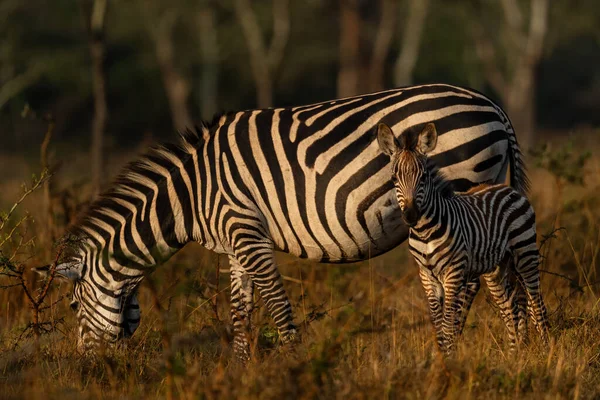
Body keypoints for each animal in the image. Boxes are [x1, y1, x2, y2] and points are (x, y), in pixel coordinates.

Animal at [35, 83, 528, 358]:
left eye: (74, 308)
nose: (86, 372)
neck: (191, 194)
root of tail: (494, 107)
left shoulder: (247, 232)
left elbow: (276, 305)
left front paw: (292, 366)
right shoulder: (235, 243)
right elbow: (240, 313)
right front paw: (239, 371)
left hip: (464, 193)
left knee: (476, 285)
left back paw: (455, 349)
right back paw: (512, 348)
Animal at [378, 122, 552, 354]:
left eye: (423, 177)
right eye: (394, 179)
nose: (410, 215)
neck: (425, 233)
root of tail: (509, 189)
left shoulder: (453, 272)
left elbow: (447, 322)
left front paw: (450, 357)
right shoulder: (426, 276)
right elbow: (437, 323)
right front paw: (442, 358)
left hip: (525, 254)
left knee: (536, 302)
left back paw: (547, 350)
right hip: (497, 268)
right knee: (511, 307)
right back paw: (514, 354)